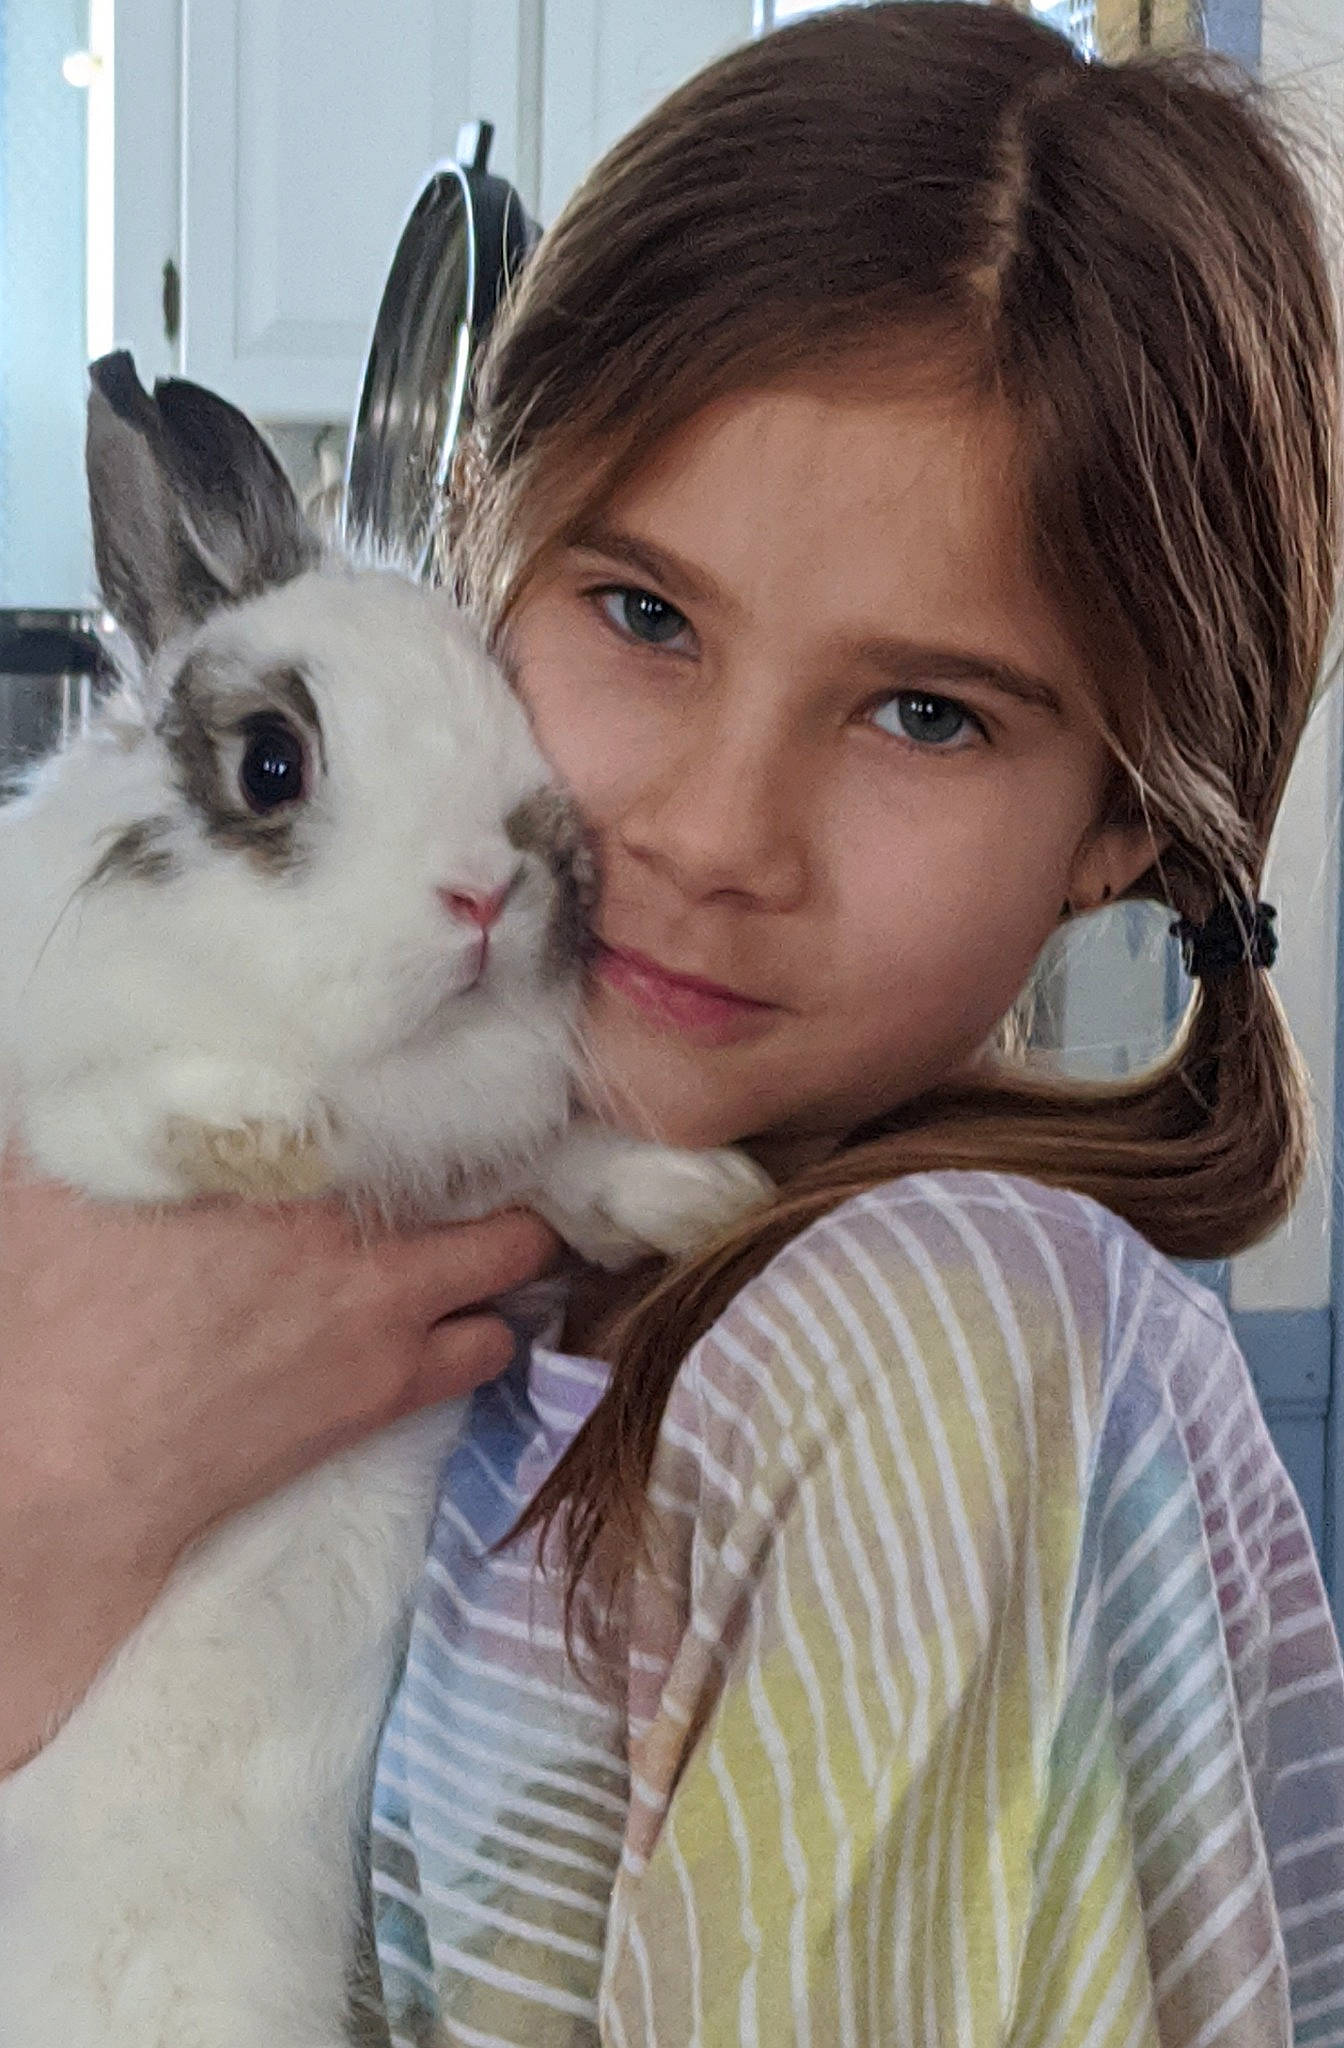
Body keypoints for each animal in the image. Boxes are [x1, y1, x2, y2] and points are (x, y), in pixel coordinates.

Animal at [0, 353, 771, 2048]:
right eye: (271, 761)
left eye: (501, 711)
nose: (499, 885)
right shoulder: (55, 1107)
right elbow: (120, 1116)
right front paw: (264, 1128)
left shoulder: (490, 1156)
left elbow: (564, 1166)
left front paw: (697, 1195)